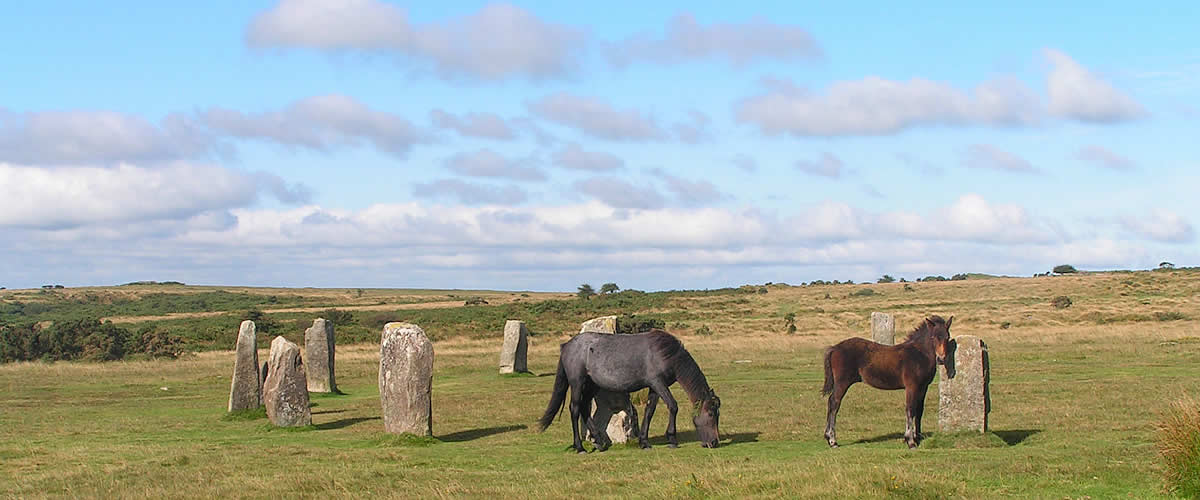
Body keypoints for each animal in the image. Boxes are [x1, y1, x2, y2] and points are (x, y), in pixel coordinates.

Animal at [537, 328, 720, 450]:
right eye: (711, 414)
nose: (714, 442)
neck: (666, 354)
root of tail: (567, 346)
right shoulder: (658, 383)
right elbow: (673, 406)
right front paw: (672, 440)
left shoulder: (655, 387)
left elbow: (649, 411)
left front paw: (644, 442)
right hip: (577, 383)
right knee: (574, 409)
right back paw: (580, 447)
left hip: (591, 385)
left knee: (584, 408)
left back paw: (599, 442)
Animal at [820, 314, 950, 446]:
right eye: (933, 337)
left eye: (947, 337)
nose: (941, 359)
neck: (919, 354)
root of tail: (835, 348)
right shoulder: (911, 387)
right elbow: (910, 409)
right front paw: (910, 440)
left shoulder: (923, 387)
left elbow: (919, 410)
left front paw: (917, 437)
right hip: (842, 382)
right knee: (834, 403)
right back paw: (832, 440)